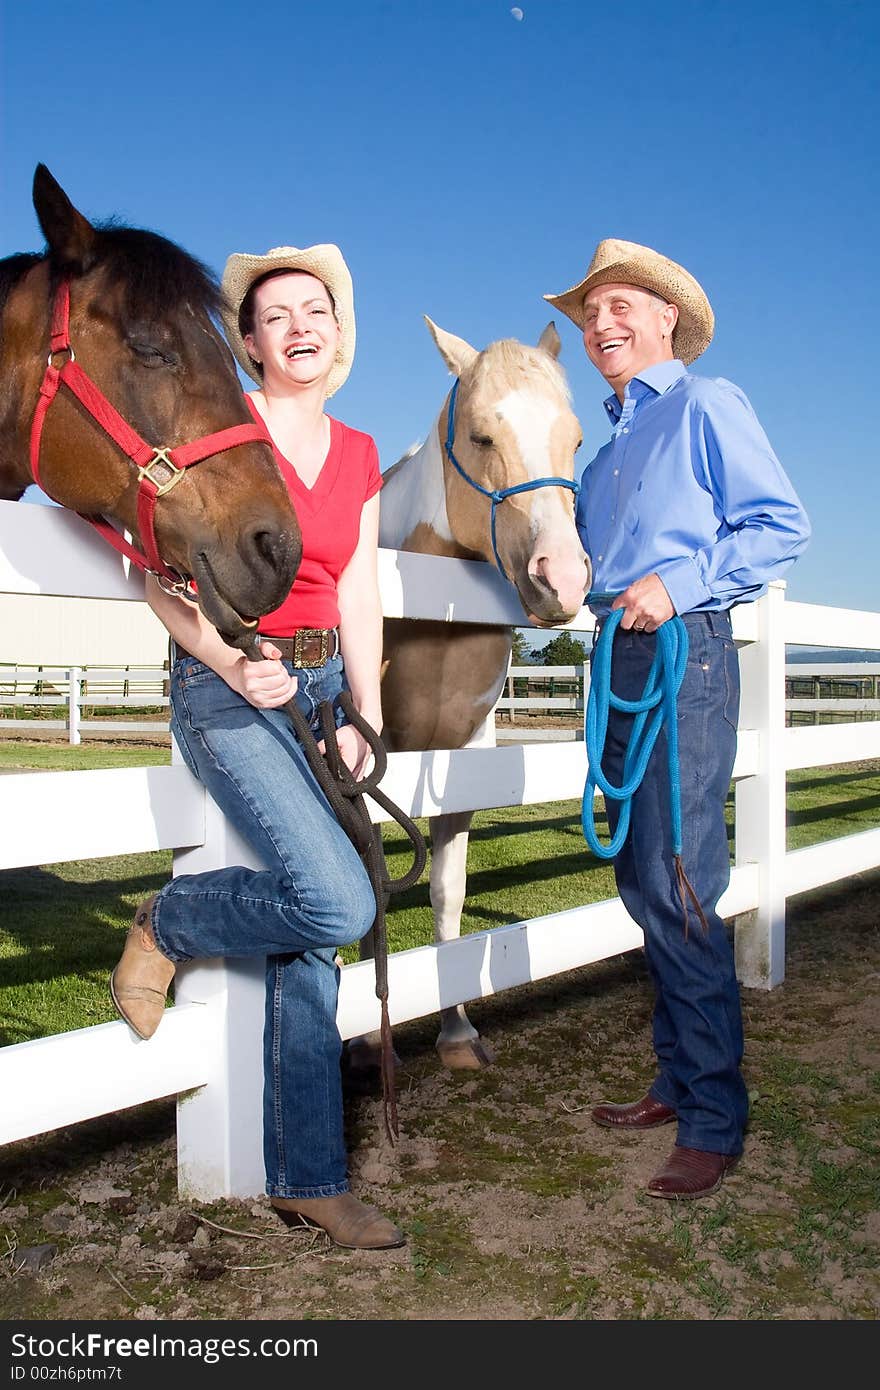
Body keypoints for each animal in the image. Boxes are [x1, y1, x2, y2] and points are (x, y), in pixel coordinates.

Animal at [351, 319, 589, 1067]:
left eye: (577, 439)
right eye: (483, 436)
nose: (562, 579)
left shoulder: (460, 756)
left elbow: (448, 893)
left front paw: (455, 1029)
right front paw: (365, 1037)